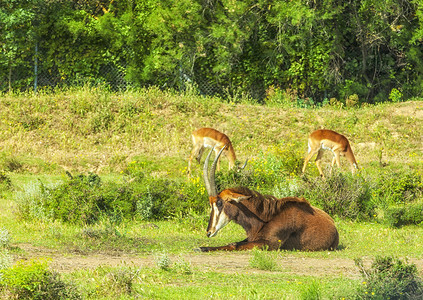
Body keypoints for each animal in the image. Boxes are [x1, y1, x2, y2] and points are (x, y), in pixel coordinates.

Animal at [197, 145, 340, 251]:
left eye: (219, 203)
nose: (209, 232)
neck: (266, 218)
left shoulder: (270, 244)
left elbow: (235, 245)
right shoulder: (253, 238)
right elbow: (233, 243)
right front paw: (202, 248)